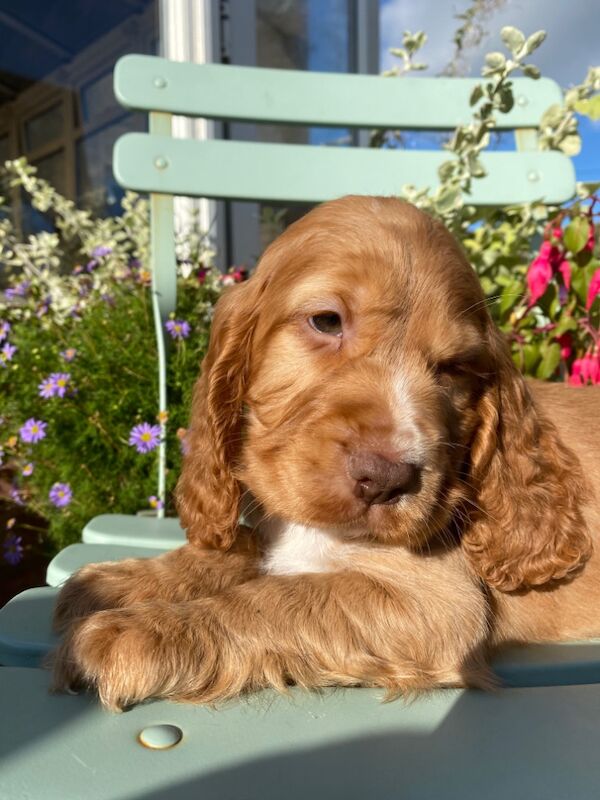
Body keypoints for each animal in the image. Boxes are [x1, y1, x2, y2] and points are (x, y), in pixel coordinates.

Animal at [52, 197, 600, 708]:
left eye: (455, 367)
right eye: (326, 321)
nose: (386, 478)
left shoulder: (437, 603)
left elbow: (278, 597)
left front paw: (143, 631)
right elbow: (240, 552)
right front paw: (124, 579)